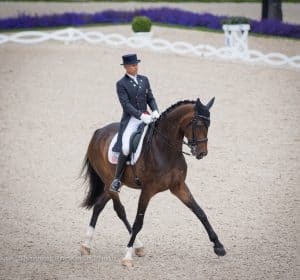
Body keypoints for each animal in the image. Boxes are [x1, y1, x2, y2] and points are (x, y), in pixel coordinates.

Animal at [79, 98, 225, 266]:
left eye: (209, 125)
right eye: (199, 124)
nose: (202, 153)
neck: (165, 149)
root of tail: (99, 132)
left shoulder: (178, 186)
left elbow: (200, 212)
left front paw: (219, 246)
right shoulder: (147, 190)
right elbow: (138, 222)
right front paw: (127, 256)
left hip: (113, 184)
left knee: (98, 205)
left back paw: (87, 244)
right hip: (110, 182)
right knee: (120, 210)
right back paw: (134, 245)